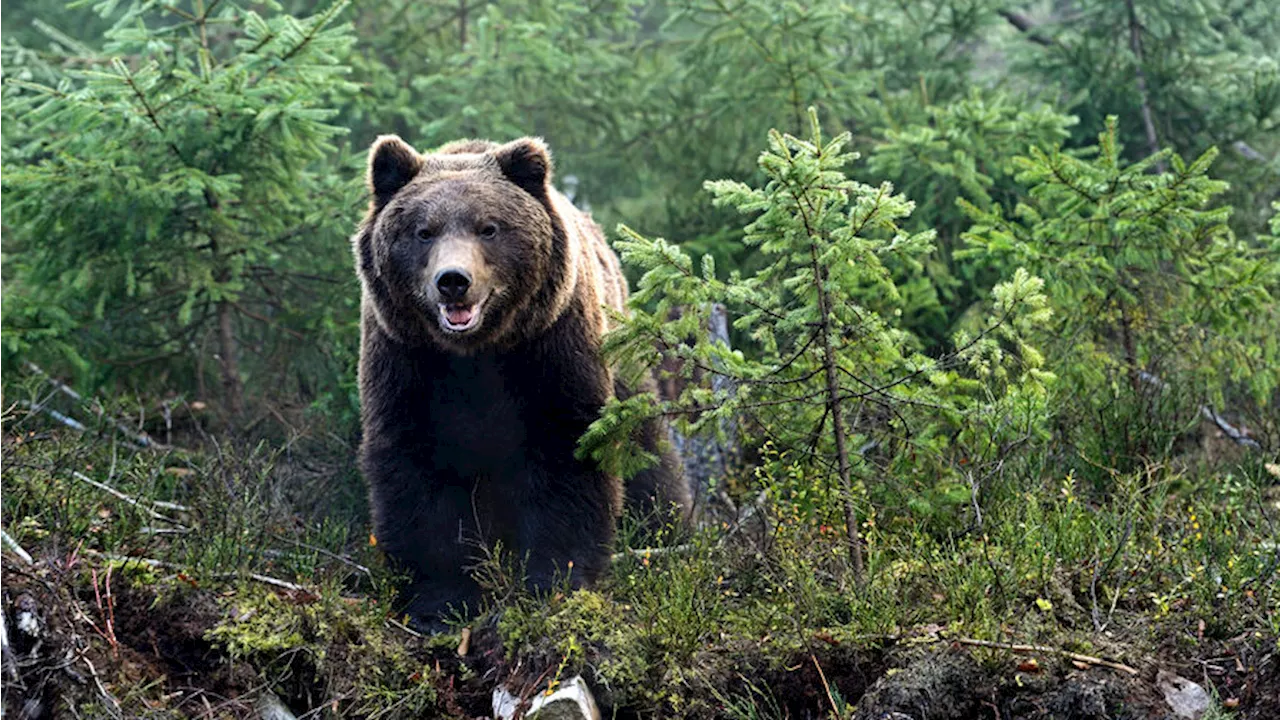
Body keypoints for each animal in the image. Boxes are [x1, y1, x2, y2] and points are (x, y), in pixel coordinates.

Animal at [350, 133, 691, 627]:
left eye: (488, 228)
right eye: (423, 231)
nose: (453, 281)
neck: (476, 352)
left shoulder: (550, 348)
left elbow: (567, 452)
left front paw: (554, 581)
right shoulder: (407, 362)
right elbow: (416, 470)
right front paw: (440, 601)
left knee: (648, 453)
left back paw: (668, 528)